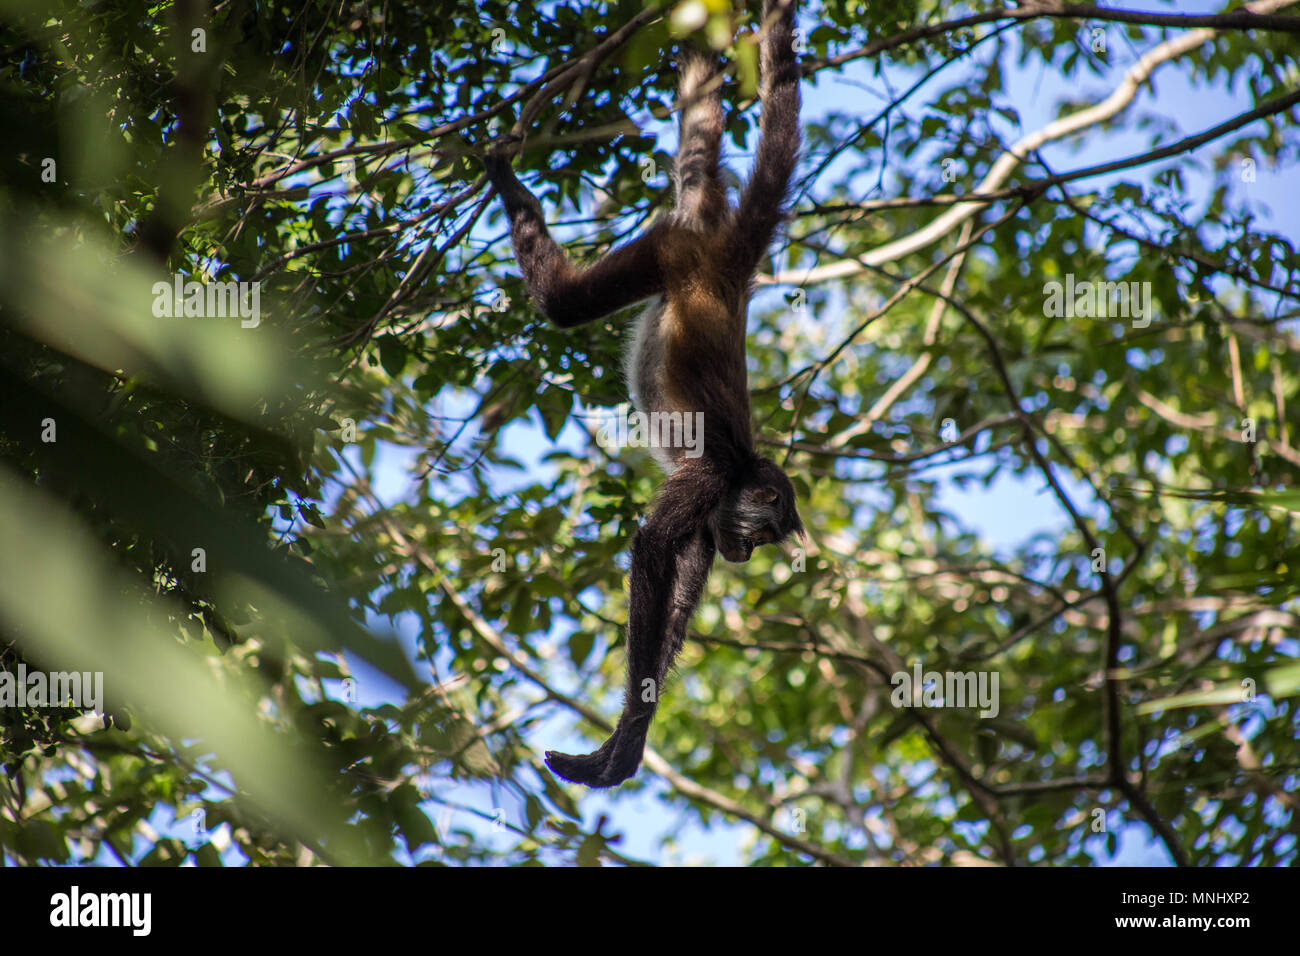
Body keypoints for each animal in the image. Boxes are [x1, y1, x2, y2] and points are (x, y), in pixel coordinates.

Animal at [483, 0, 795, 790]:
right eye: (767, 535)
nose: (749, 557)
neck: (743, 467)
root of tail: (727, 263)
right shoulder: (711, 475)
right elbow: (653, 546)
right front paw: (627, 738)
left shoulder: (712, 510)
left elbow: (680, 574)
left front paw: (627, 733)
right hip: (667, 251)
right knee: (564, 305)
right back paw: (507, 179)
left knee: (697, 148)